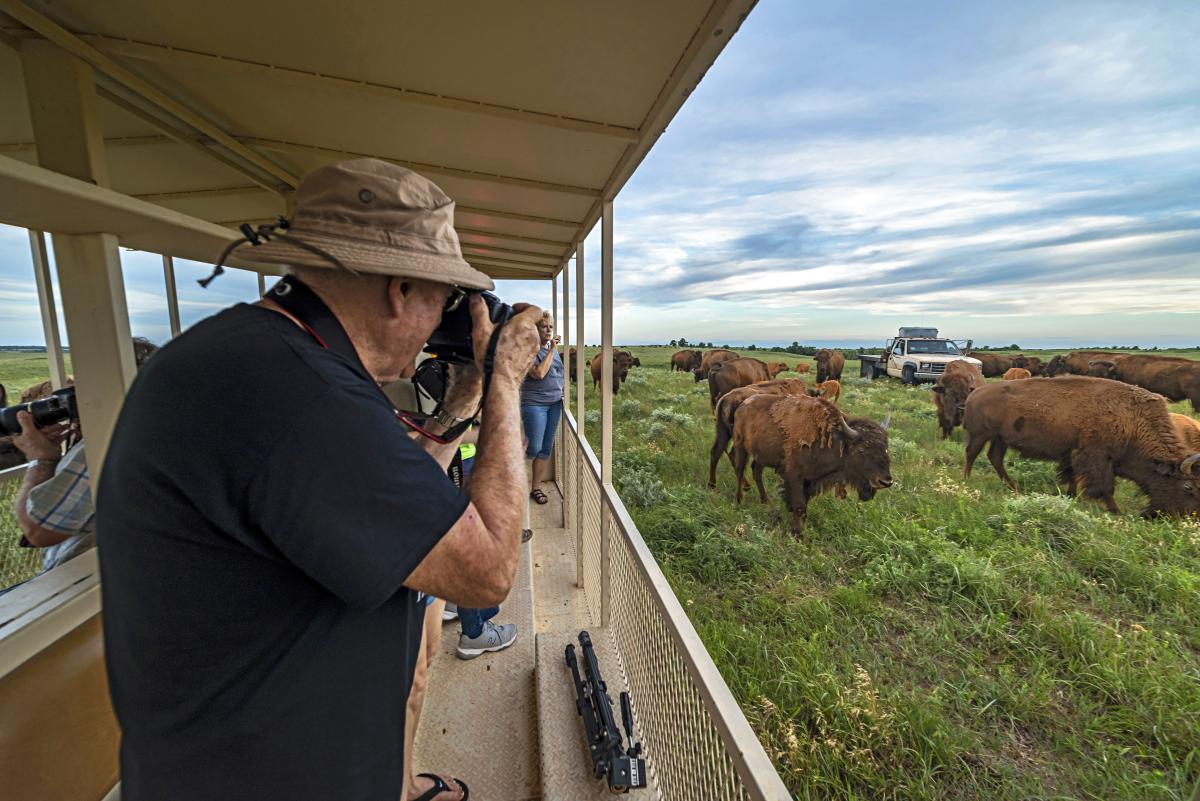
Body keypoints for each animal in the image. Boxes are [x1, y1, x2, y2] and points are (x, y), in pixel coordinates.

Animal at [720, 393, 892, 532]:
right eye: (861, 450)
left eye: (885, 449)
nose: (885, 481)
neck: (836, 441)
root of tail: (742, 404)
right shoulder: (795, 477)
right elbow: (800, 507)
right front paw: (797, 533)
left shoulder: (810, 481)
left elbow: (803, 505)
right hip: (740, 445)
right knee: (739, 470)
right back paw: (739, 500)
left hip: (761, 455)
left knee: (756, 472)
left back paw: (765, 501)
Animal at [960, 376, 1200, 515]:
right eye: (1187, 487)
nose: (1189, 517)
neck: (1134, 421)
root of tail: (975, 393)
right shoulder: (1097, 457)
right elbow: (1105, 486)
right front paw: (1116, 510)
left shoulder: (1073, 453)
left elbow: (1073, 476)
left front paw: (1070, 496)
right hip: (981, 435)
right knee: (971, 454)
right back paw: (967, 480)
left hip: (1000, 438)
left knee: (995, 458)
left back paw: (1014, 487)